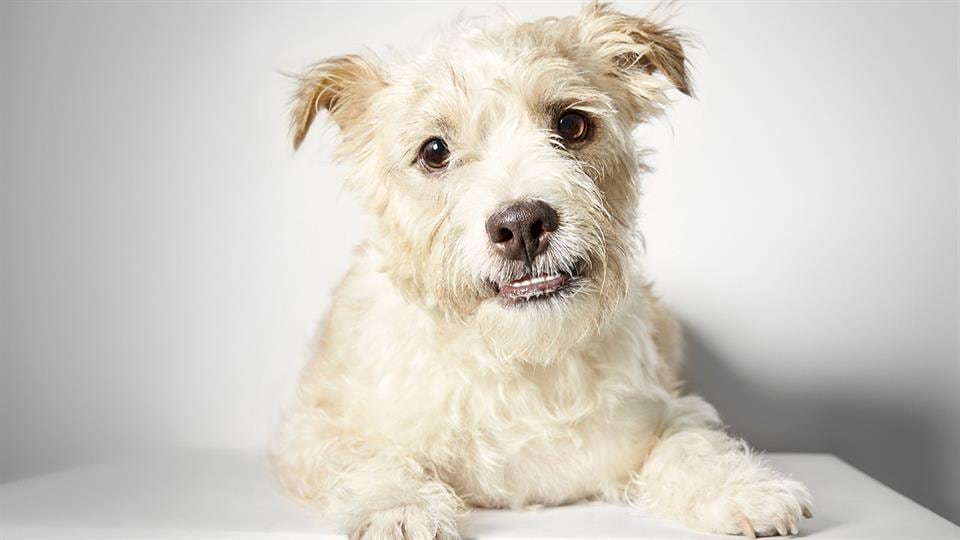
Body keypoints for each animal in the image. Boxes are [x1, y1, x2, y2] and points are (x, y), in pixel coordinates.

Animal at [270, 4, 808, 540]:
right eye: (435, 151)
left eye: (571, 124)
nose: (522, 225)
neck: (521, 357)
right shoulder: (313, 432)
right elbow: (368, 456)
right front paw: (400, 507)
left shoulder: (664, 412)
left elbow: (690, 443)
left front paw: (743, 489)